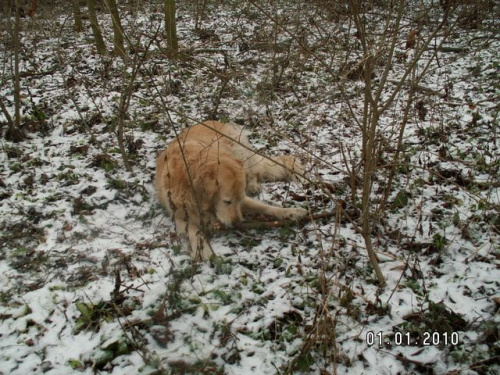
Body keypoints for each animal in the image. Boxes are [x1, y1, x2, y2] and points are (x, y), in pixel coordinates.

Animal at [154, 121, 306, 262]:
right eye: (227, 201)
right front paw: (204, 250)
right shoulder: (179, 217)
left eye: (238, 200)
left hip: (240, 151)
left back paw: (253, 186)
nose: (237, 223)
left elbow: (265, 207)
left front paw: (292, 212)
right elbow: (194, 231)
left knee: (254, 173)